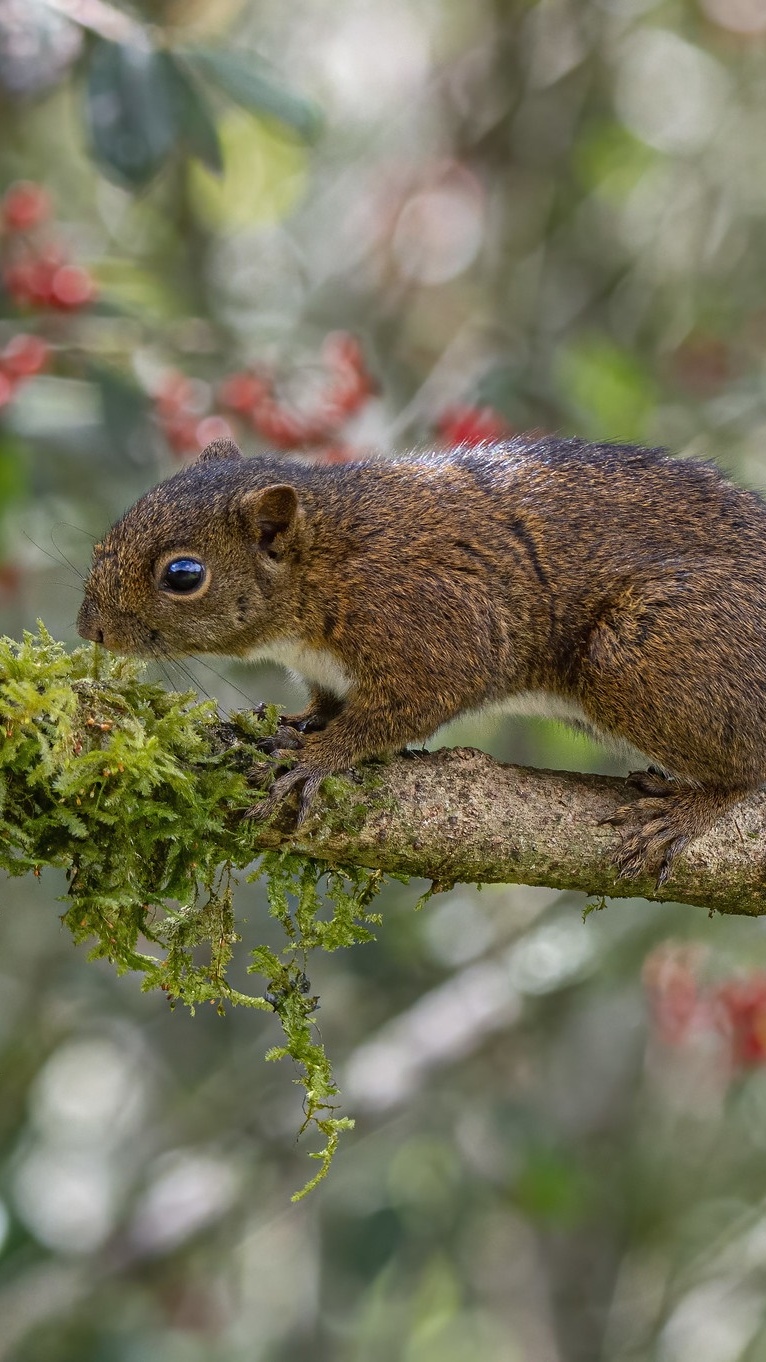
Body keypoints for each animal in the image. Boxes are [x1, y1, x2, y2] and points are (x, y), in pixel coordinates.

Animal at [77, 430, 766, 888]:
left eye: (183, 574)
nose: (91, 630)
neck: (325, 562)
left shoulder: (432, 620)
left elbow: (409, 705)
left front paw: (317, 758)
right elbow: (325, 701)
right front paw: (301, 722)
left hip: (642, 654)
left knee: (748, 769)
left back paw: (687, 810)